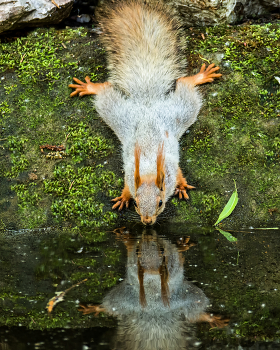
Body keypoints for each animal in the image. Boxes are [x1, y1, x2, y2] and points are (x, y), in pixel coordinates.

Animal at [69, 0, 221, 224]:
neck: (149, 168)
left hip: (180, 110)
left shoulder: (170, 166)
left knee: (185, 84)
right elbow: (127, 185)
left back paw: (200, 76)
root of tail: (147, 99)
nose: (147, 221)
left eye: (160, 203)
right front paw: (124, 196)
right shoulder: (131, 172)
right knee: (105, 90)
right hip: (118, 113)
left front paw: (181, 186)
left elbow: (179, 174)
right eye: (136, 203)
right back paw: (90, 87)